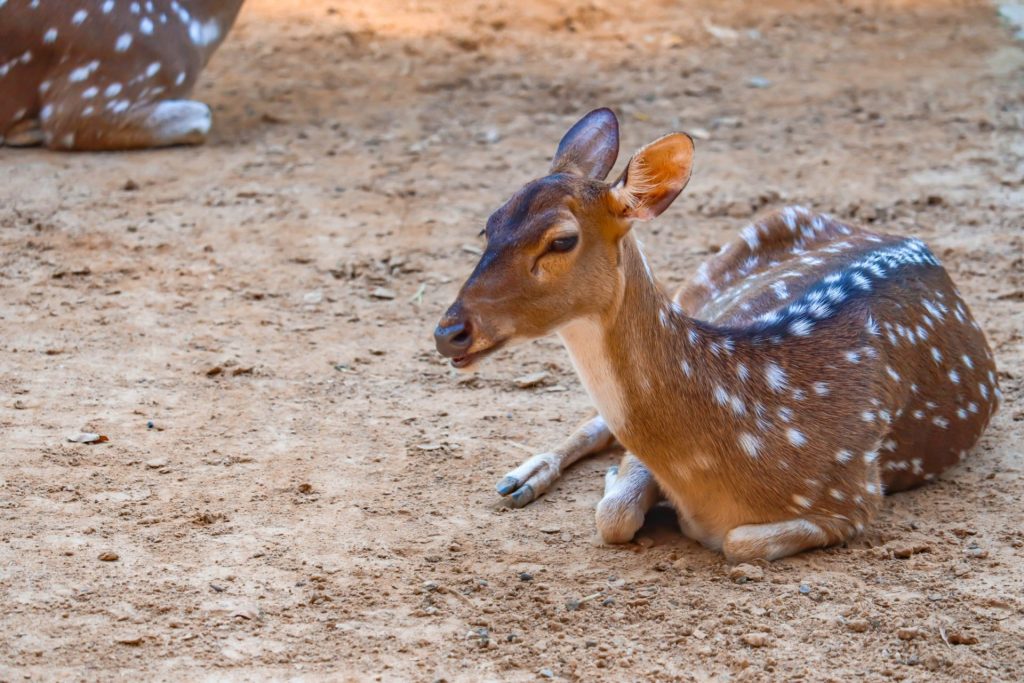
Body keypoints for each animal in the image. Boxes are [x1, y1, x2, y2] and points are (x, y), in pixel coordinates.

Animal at [432, 109, 999, 565]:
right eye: (488, 226)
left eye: (562, 240)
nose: (449, 332)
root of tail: (910, 240)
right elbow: (614, 513)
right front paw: (614, 483)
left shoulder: (856, 496)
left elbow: (737, 541)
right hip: (707, 274)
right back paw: (521, 478)